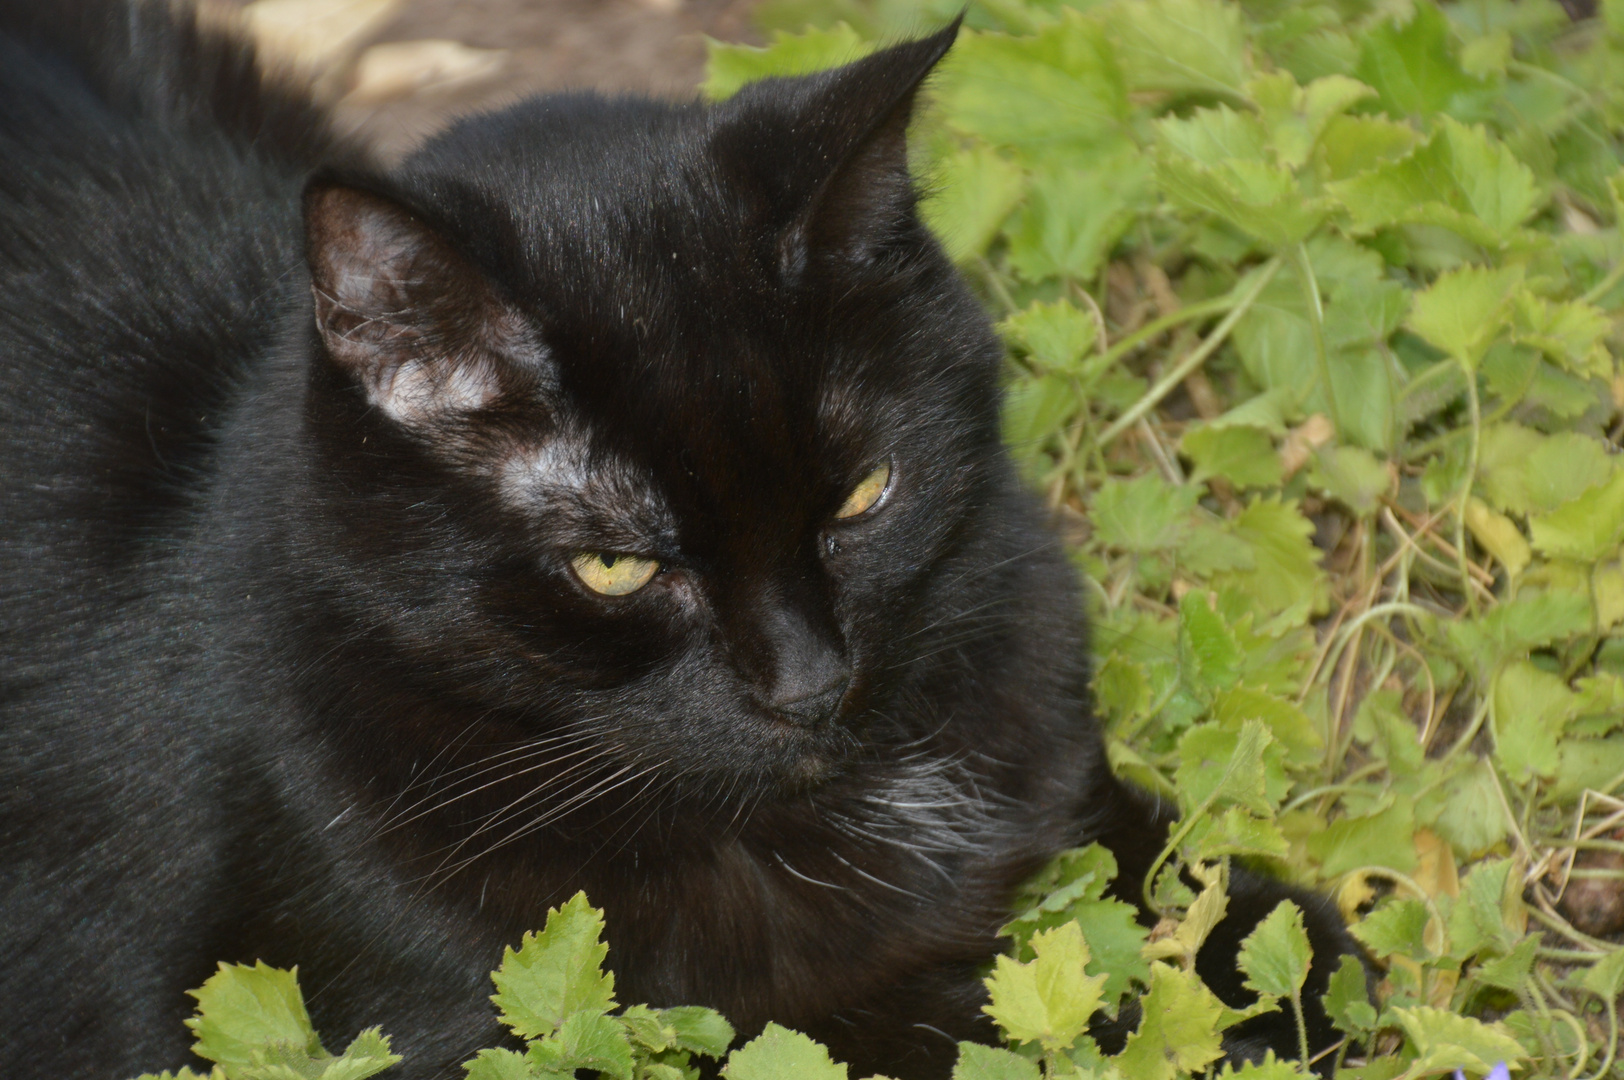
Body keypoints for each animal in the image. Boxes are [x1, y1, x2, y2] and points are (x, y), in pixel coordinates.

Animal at [0, 4, 1357, 1071]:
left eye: (862, 496)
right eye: (616, 565)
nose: (809, 684)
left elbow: (1151, 873)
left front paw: (1282, 961)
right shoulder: (390, 1020)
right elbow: (868, 1027)